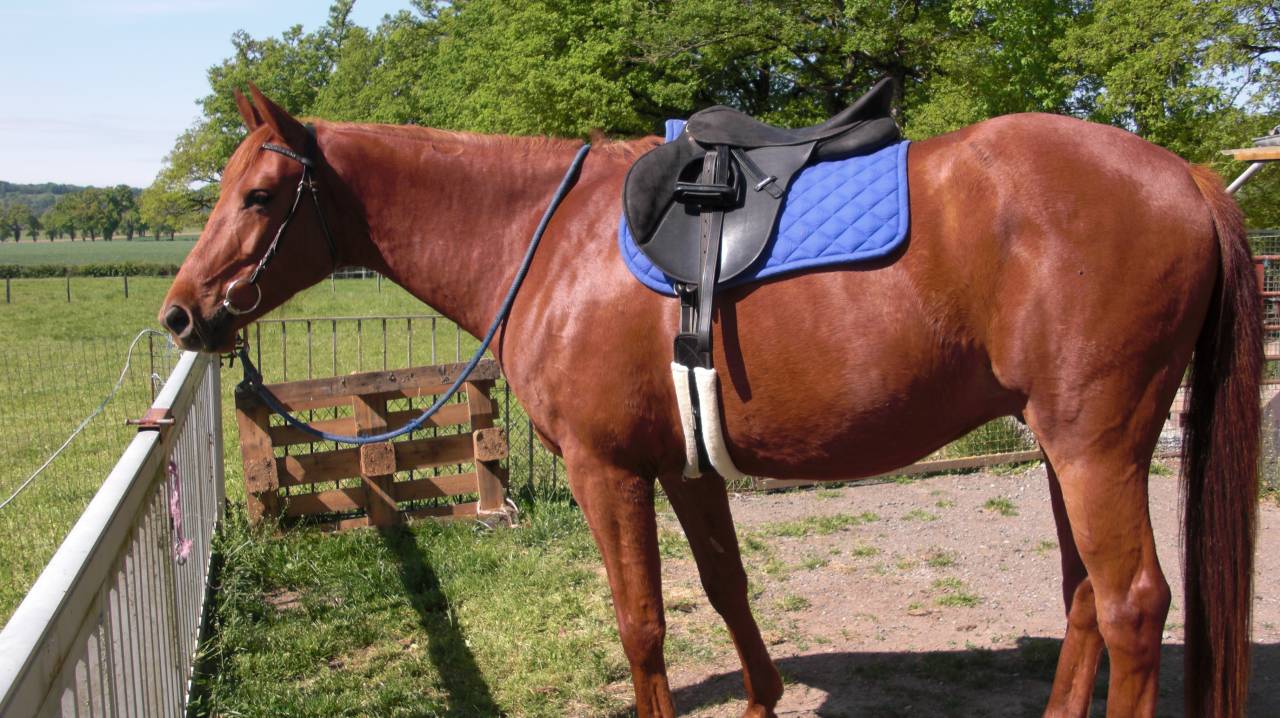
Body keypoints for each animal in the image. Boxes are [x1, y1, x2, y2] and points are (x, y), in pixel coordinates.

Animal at [160, 85, 1260, 718]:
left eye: (258, 196)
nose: (181, 314)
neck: (548, 238)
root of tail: (1188, 178)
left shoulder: (608, 470)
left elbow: (641, 622)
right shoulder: (685, 467)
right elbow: (728, 590)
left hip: (1095, 445)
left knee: (1129, 605)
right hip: (1064, 448)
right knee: (1082, 600)